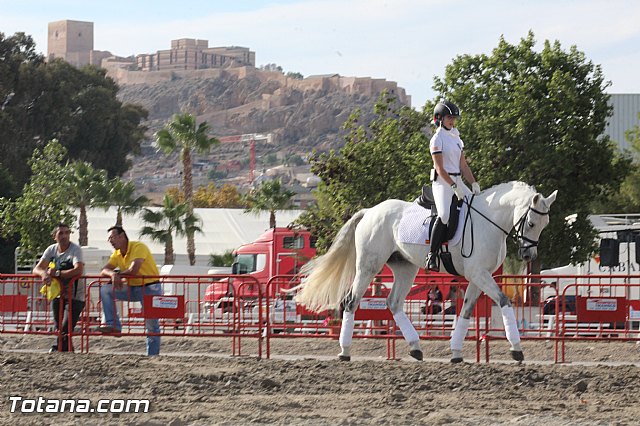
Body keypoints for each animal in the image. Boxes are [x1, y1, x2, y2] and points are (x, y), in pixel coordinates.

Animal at [298, 181, 556, 362]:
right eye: (531, 223)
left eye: (545, 226)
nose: (529, 256)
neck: (488, 221)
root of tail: (370, 211)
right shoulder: (478, 274)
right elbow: (504, 301)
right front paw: (517, 349)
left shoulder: (478, 276)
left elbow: (466, 311)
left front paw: (456, 352)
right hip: (368, 266)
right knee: (351, 301)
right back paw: (345, 351)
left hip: (405, 267)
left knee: (393, 302)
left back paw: (415, 347)